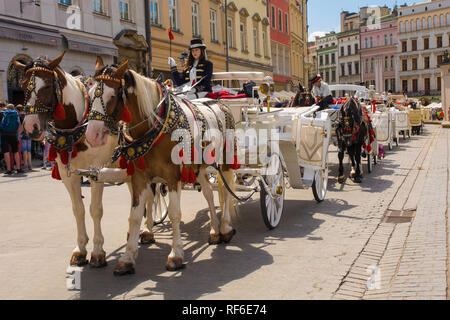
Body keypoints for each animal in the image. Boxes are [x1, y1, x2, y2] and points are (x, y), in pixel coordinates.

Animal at [13, 52, 129, 268]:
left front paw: (98, 252)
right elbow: (78, 210)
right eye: (23, 85)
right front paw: (81, 249)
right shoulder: (69, 175)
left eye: (47, 86)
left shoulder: (96, 172)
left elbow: (95, 210)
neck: (78, 128)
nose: (31, 127)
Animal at [85, 58, 239, 274]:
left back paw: (225, 228)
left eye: (112, 95)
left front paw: (176, 255)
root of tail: (219, 102)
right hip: (199, 167)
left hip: (225, 160)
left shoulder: (172, 176)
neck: (153, 126)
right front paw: (127, 258)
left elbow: (174, 213)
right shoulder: (139, 178)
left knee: (225, 191)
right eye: (90, 95)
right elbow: (135, 216)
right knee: (209, 194)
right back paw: (214, 231)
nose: (92, 135)